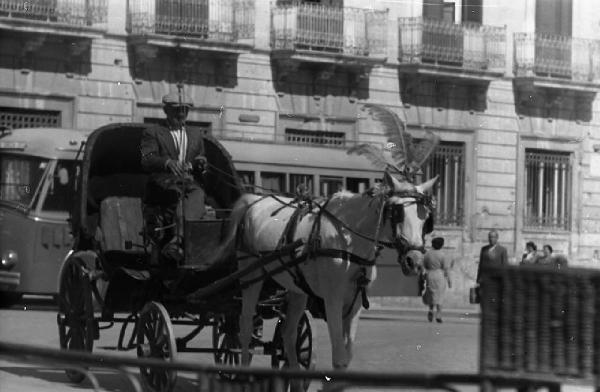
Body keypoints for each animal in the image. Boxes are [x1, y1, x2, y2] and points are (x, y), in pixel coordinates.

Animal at [209, 171, 434, 388]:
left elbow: (347, 354)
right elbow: (340, 357)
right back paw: (243, 372)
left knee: (289, 333)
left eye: (425, 219)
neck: (349, 240)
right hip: (250, 275)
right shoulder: (332, 300)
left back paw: (295, 379)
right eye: (397, 212)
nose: (414, 261)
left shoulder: (355, 305)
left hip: (297, 290)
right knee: (245, 326)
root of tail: (254, 200)